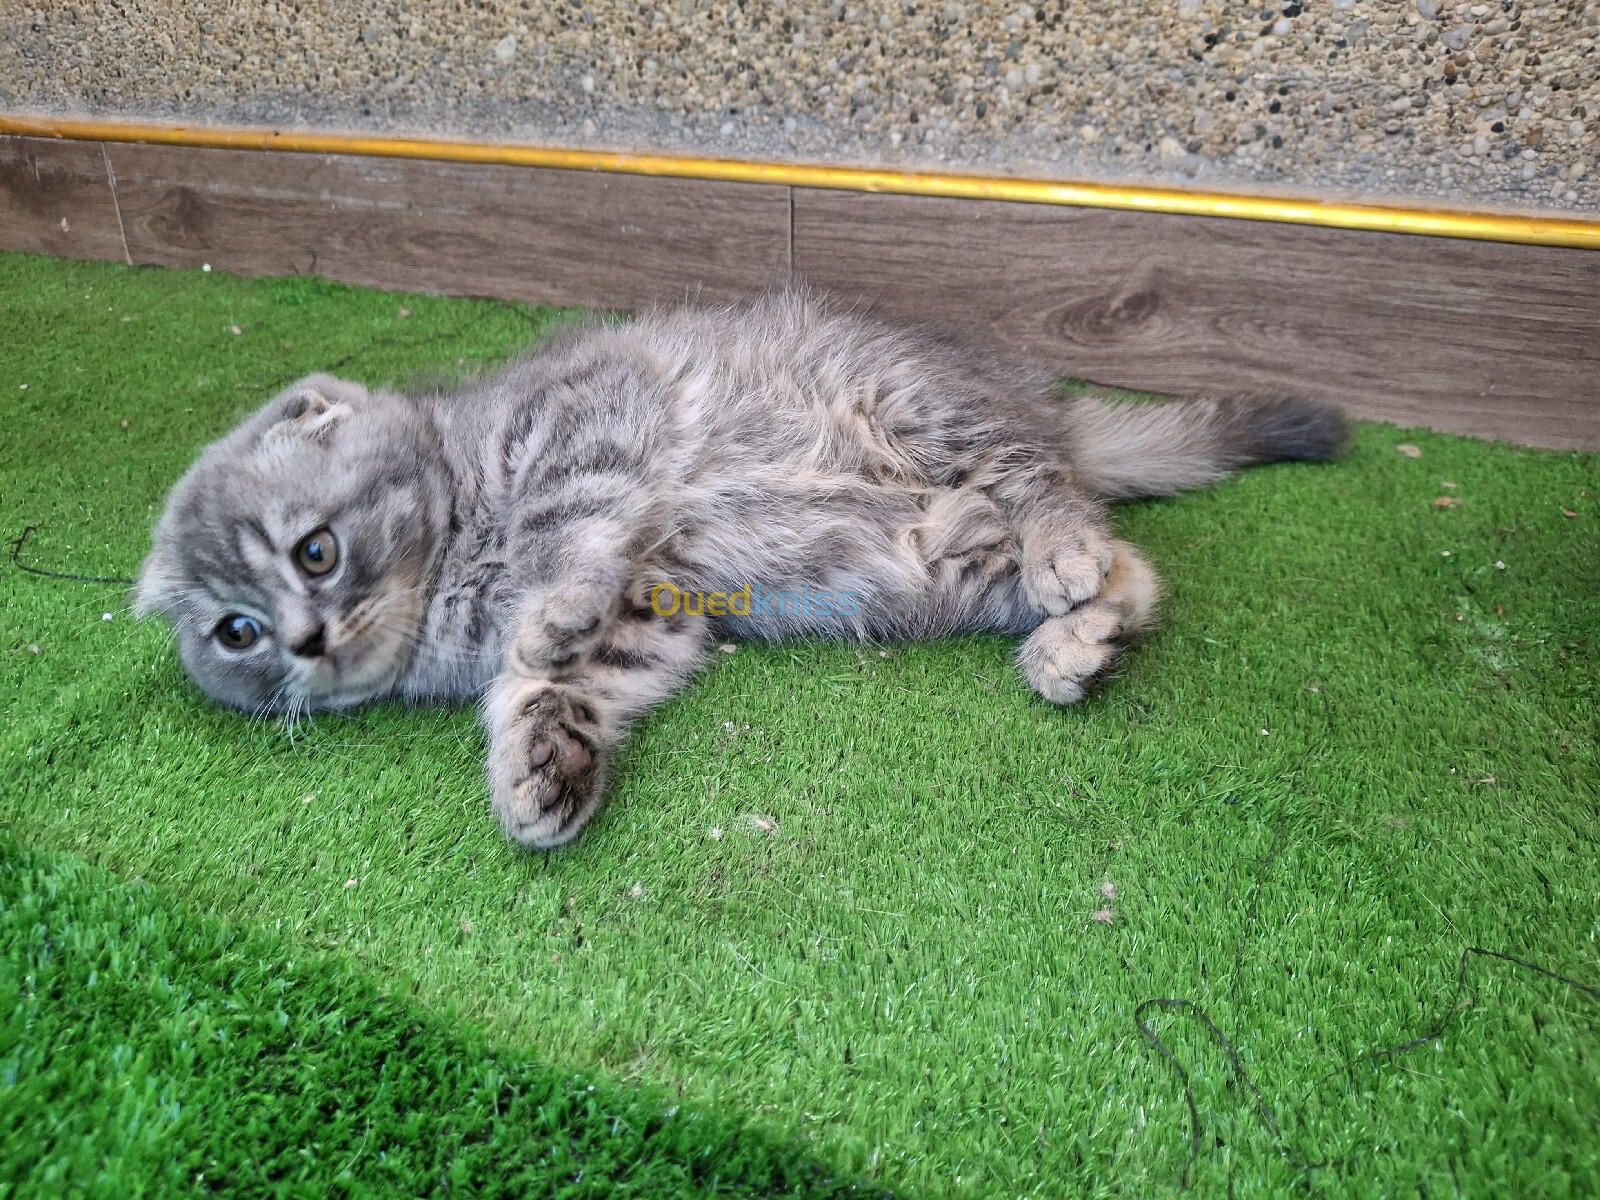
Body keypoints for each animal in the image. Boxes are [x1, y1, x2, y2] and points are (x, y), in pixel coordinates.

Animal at [131, 289, 1344, 857]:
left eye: (315, 551)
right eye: (235, 634)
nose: (303, 640)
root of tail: (1027, 394)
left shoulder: (590, 412)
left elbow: (569, 529)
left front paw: (543, 612)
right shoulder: (656, 614)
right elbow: (563, 685)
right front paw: (539, 765)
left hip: (922, 408)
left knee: (1046, 481)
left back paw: (1064, 554)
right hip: (930, 571)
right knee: (1130, 564)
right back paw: (1079, 634)